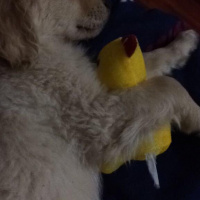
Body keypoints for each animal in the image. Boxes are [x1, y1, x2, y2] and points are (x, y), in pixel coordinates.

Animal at [0, 0, 199, 200]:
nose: (112, 2)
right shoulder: (97, 115)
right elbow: (169, 85)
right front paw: (196, 117)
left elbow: (149, 60)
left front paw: (183, 43)